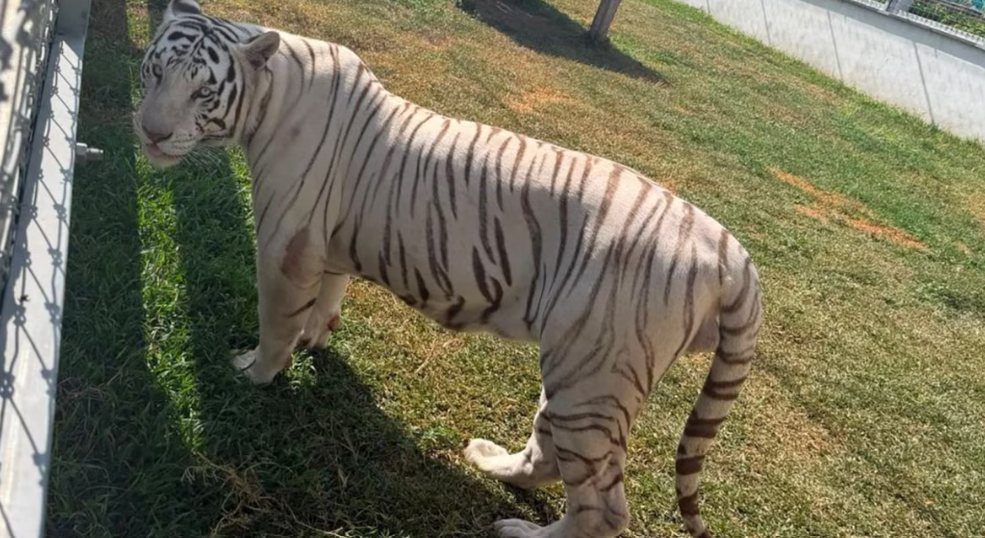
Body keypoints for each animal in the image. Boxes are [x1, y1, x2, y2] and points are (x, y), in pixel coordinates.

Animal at [133, 1, 764, 537]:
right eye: (154, 71)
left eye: (203, 91)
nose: (151, 132)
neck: (271, 94)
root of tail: (731, 251)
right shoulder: (329, 243)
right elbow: (327, 298)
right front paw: (317, 339)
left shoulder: (286, 245)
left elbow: (276, 322)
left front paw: (255, 372)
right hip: (578, 371)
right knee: (550, 454)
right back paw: (492, 462)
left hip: (596, 374)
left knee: (604, 508)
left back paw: (520, 531)